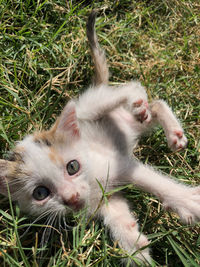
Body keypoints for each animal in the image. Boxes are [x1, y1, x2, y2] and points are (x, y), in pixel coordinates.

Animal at [0, 10, 200, 266]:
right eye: (40, 193)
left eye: (72, 167)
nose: (71, 197)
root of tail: (95, 89)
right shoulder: (104, 201)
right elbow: (117, 215)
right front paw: (134, 248)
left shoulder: (121, 164)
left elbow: (156, 183)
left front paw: (188, 202)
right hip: (131, 124)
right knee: (155, 105)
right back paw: (173, 132)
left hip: (90, 108)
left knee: (132, 87)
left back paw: (138, 101)